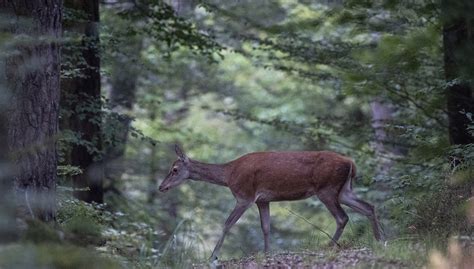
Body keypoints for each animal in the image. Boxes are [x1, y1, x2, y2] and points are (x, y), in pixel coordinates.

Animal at [157, 144, 384, 260]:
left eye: (174, 169)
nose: (161, 187)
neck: (229, 175)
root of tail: (351, 163)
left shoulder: (245, 196)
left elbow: (227, 224)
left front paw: (213, 256)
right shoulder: (262, 200)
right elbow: (265, 227)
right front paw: (267, 253)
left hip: (326, 189)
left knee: (342, 217)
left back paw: (329, 246)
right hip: (344, 190)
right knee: (369, 207)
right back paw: (381, 239)